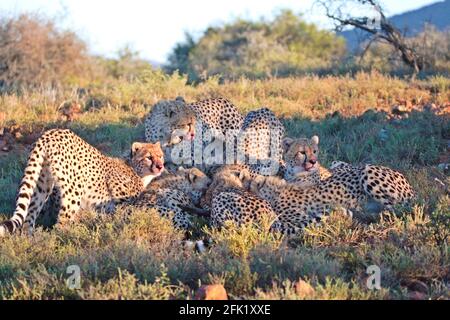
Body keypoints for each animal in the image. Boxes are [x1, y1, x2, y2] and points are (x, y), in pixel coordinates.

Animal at [0, 129, 165, 236]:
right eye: (149, 157)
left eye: (161, 156)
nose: (160, 166)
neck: (136, 170)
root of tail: (50, 133)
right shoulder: (118, 194)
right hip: (74, 190)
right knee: (61, 222)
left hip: (42, 185)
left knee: (29, 215)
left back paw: (30, 240)